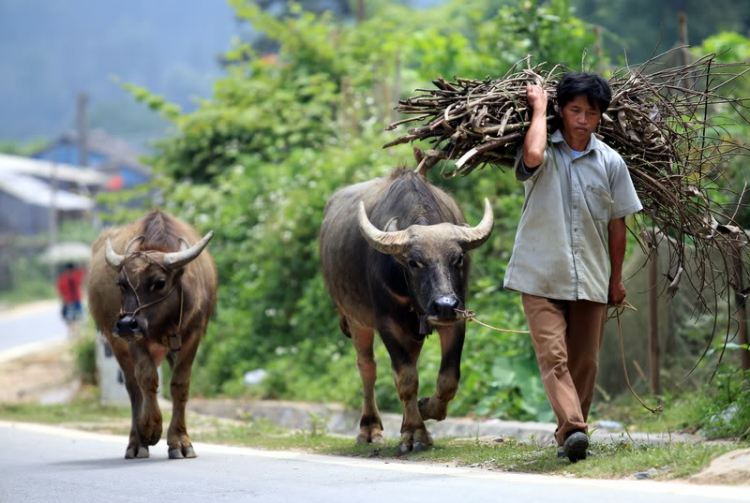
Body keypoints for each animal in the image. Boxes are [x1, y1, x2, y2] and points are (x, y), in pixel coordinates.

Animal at [89, 210, 217, 460]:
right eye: (121, 284)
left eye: (159, 282)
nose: (126, 324)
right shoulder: (133, 340)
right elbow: (146, 378)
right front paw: (150, 428)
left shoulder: (193, 334)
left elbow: (179, 385)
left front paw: (180, 442)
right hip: (116, 343)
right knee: (133, 387)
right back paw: (136, 443)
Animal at [320, 167, 496, 454]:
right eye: (414, 262)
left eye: (458, 258)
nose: (444, 305)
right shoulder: (387, 324)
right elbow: (406, 378)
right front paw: (415, 434)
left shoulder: (457, 319)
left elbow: (448, 379)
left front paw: (424, 411)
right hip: (356, 319)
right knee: (367, 367)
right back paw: (369, 430)